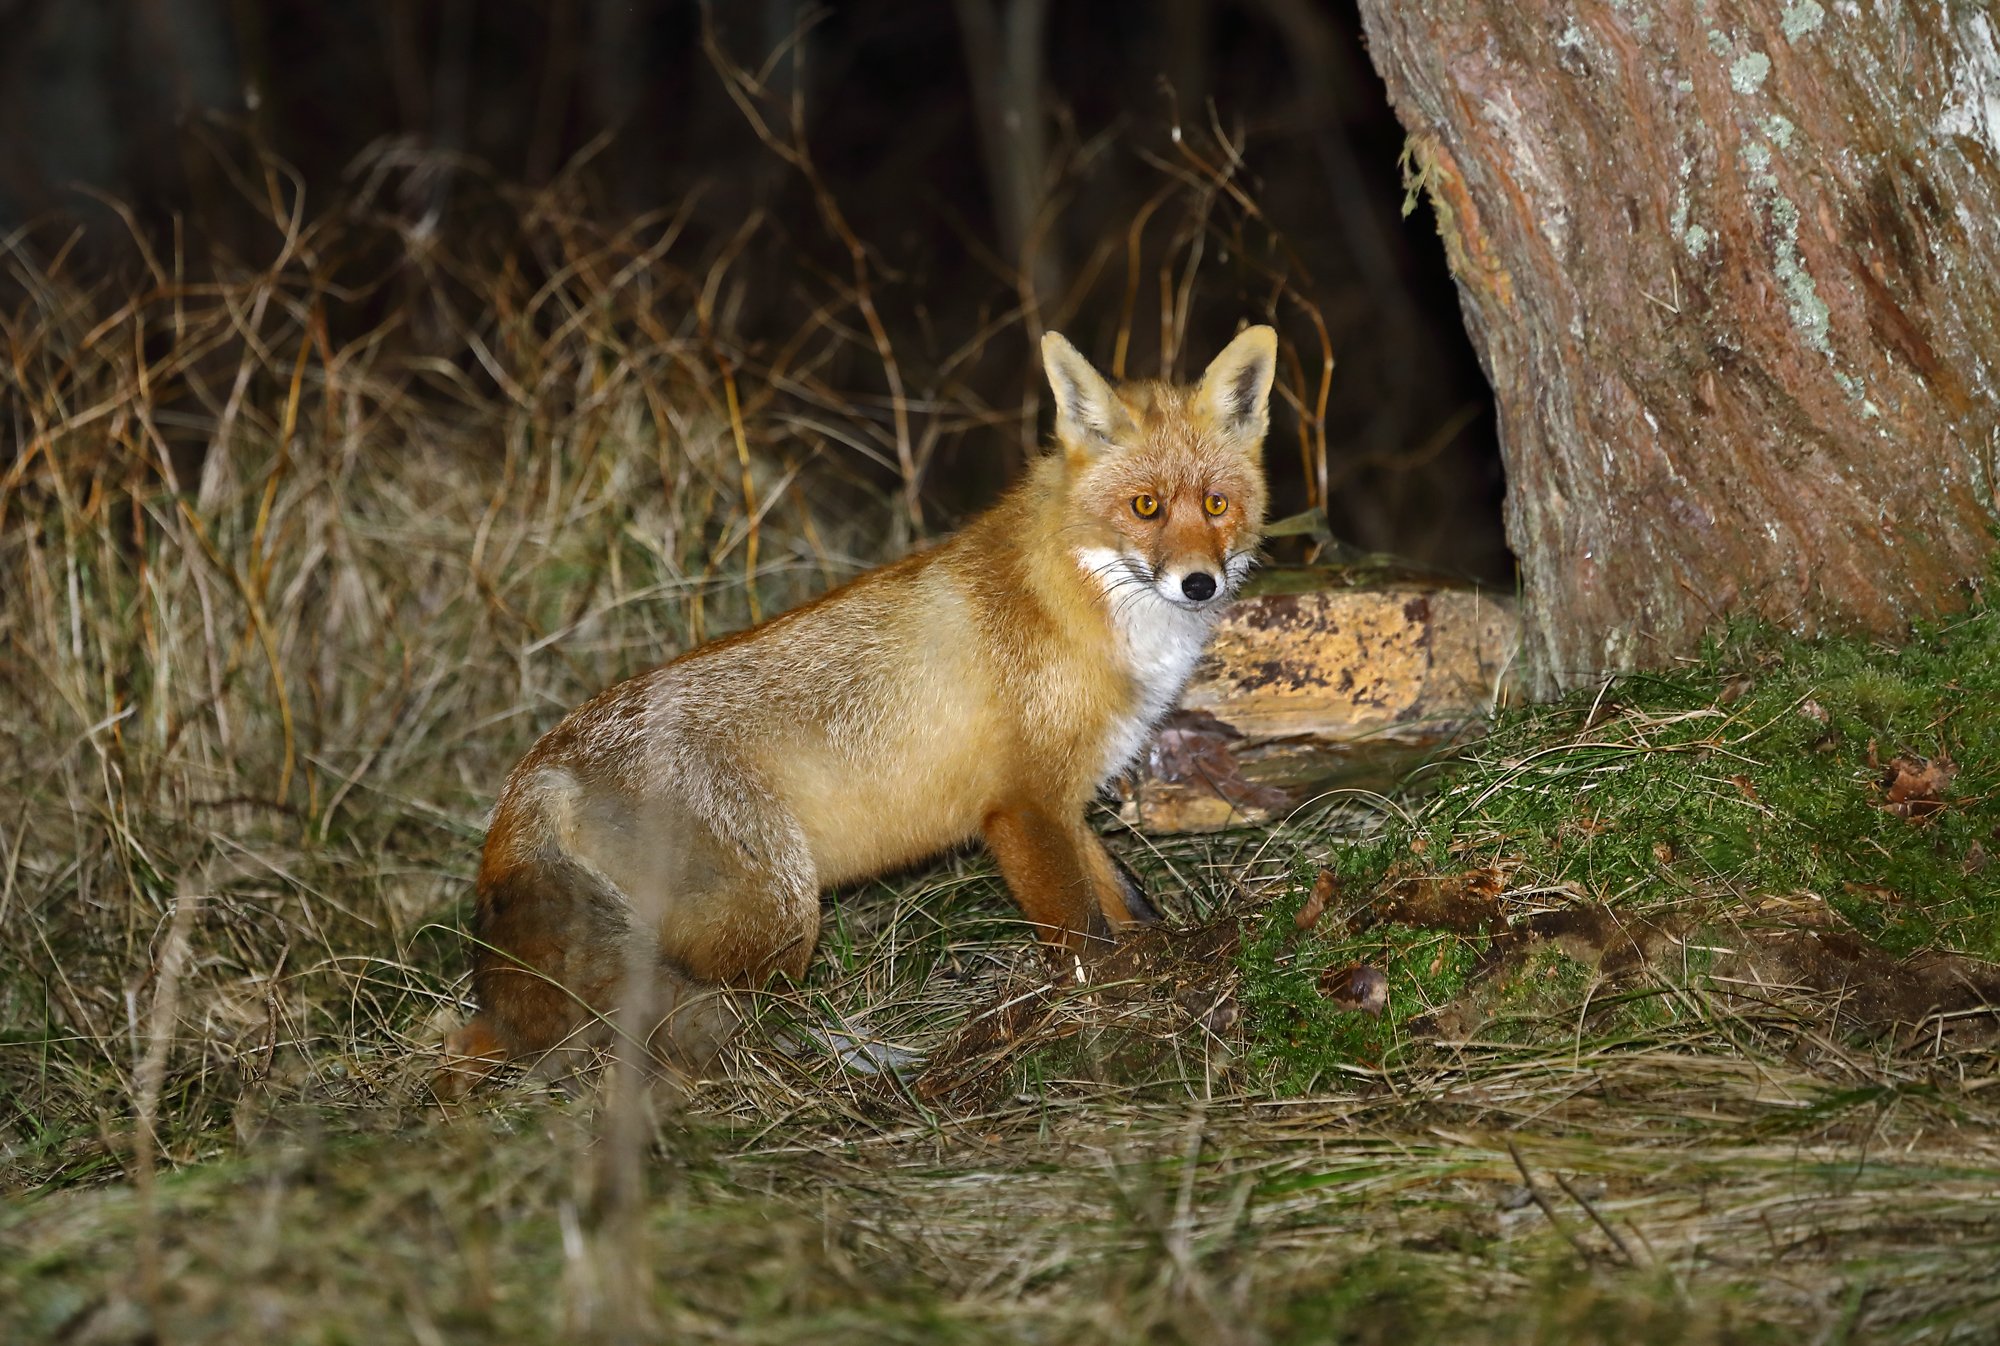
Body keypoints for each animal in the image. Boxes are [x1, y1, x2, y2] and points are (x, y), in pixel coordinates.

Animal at [437, 323, 1277, 1092]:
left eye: (1216, 504)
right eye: (1145, 507)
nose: (1199, 584)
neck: (1079, 607)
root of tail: (541, 765)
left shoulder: (1065, 799)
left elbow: (1128, 902)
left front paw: (1163, 959)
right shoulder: (1021, 807)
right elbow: (1082, 937)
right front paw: (1104, 1010)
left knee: (480, 1032)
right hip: (778, 913)